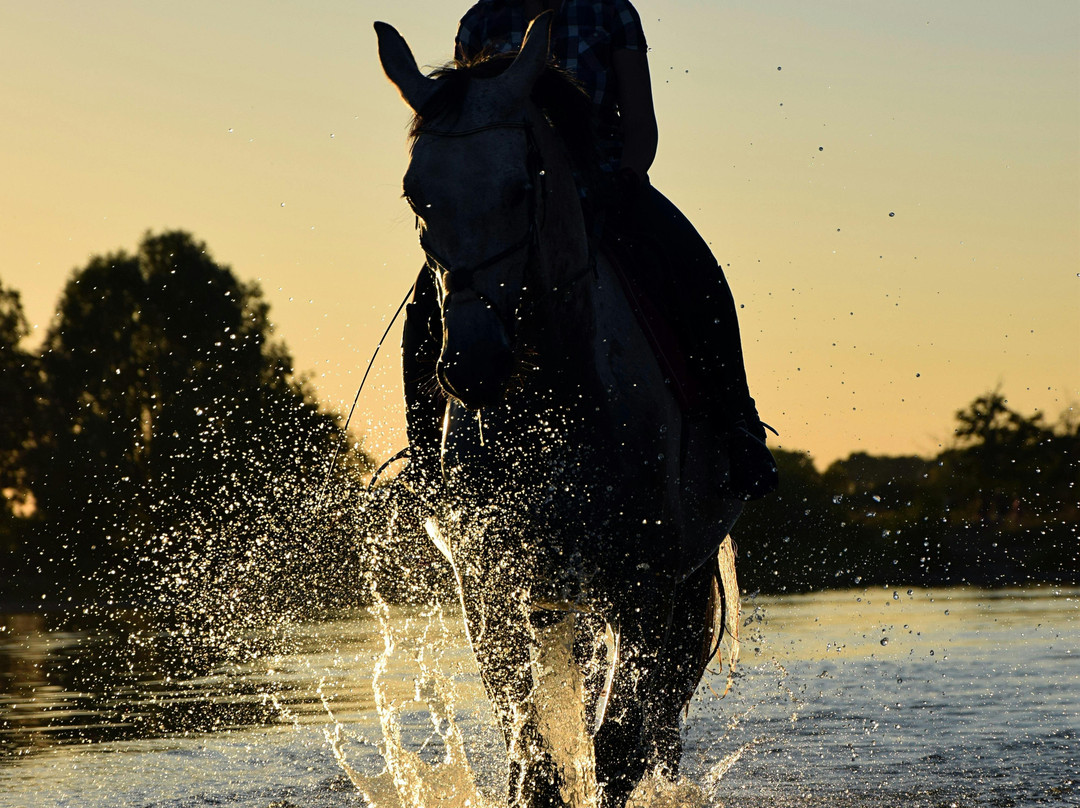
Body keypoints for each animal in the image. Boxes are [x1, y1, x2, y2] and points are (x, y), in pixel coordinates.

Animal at [376, 14, 744, 808]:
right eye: (415, 197)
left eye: (523, 187)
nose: (473, 366)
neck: (552, 409)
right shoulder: (489, 586)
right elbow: (535, 755)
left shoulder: (645, 585)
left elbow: (616, 750)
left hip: (675, 580)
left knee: (661, 715)